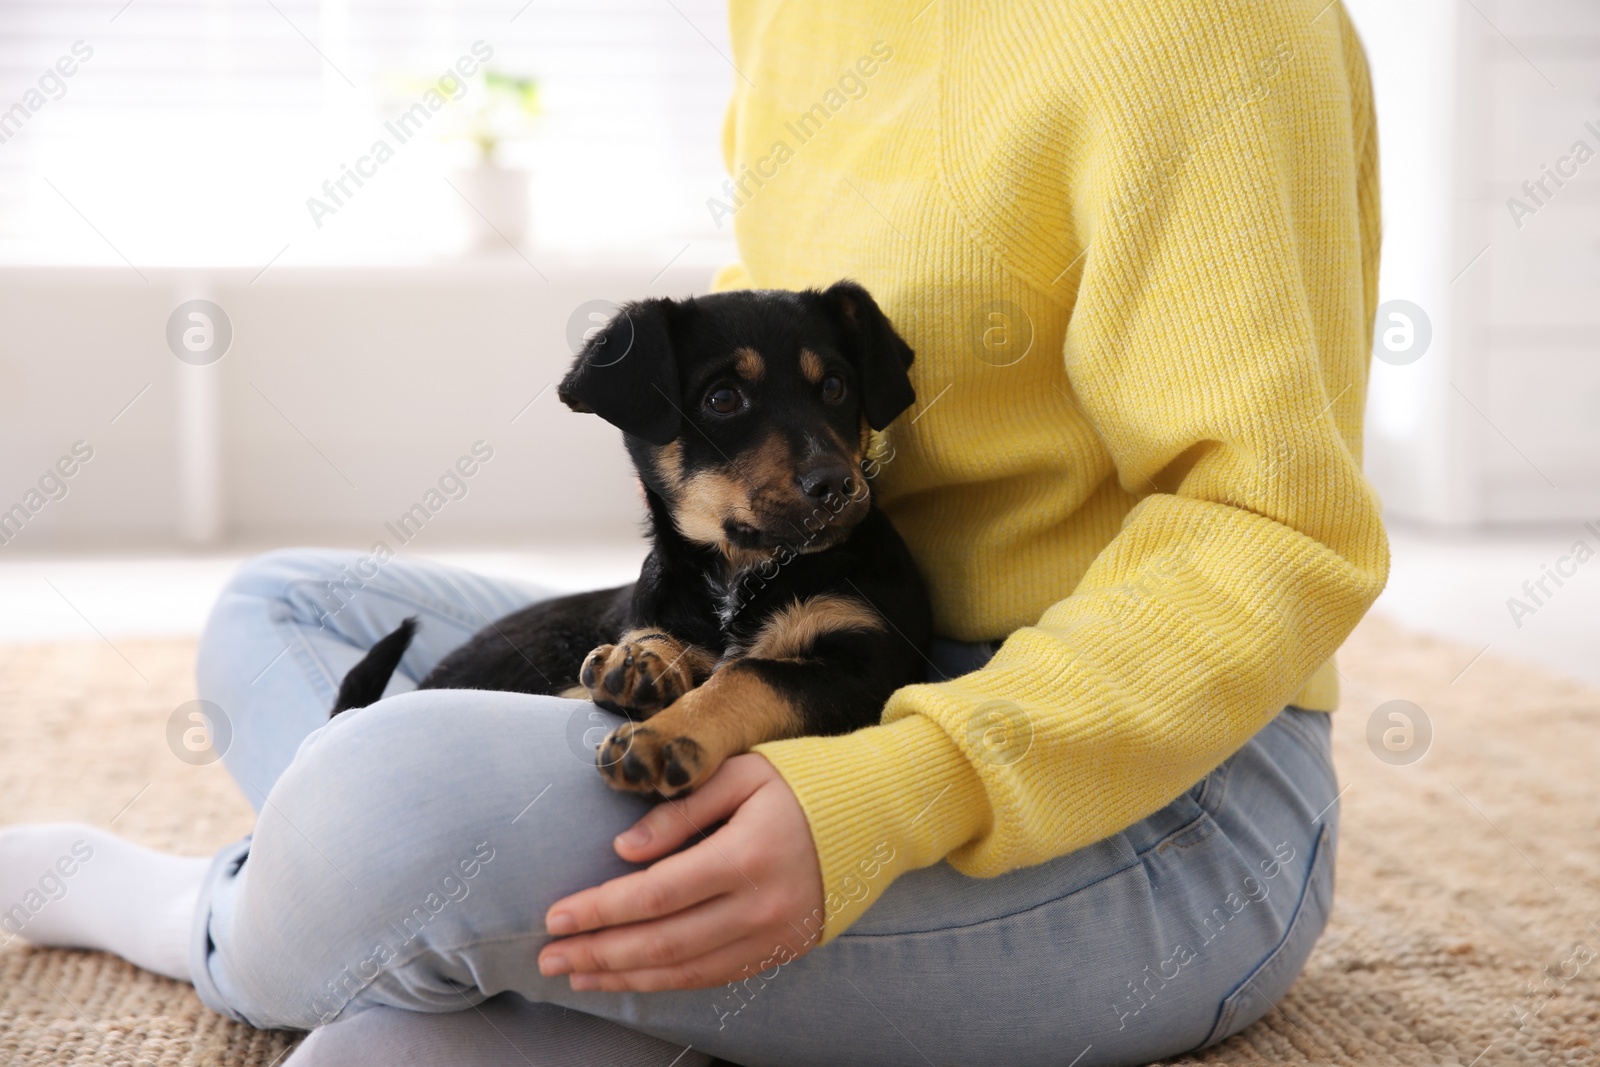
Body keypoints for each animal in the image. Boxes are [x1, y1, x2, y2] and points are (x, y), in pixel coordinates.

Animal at [334, 279, 934, 796]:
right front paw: (644, 662)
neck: (736, 573)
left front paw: (666, 735)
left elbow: (749, 673)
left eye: (835, 387)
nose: (836, 485)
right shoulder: (657, 613)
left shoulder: (864, 666)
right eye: (722, 399)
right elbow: (663, 642)